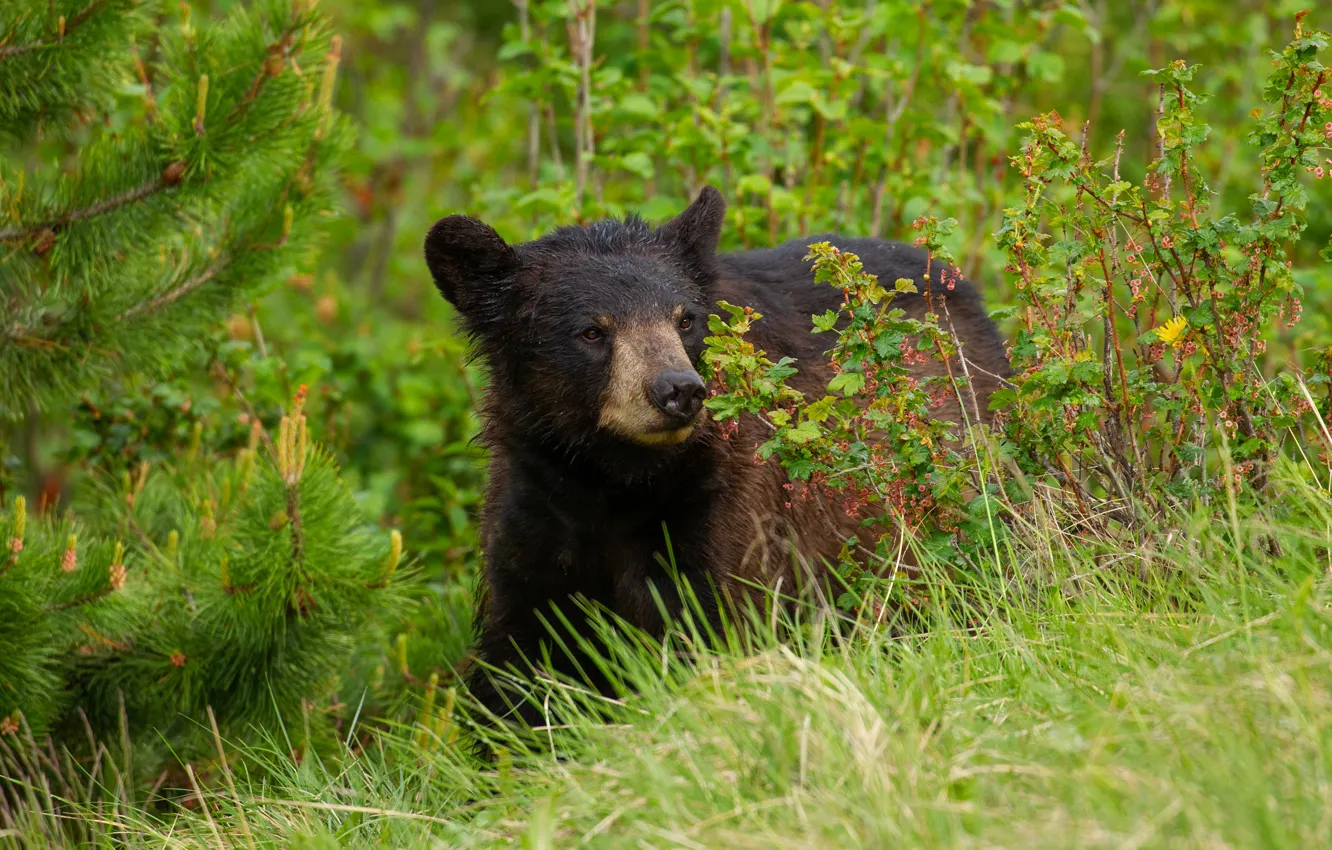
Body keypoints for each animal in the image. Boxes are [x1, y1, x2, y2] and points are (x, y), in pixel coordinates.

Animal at [423, 186, 1010, 729]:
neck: (611, 485)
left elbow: (714, 629)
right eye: (592, 330)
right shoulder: (533, 517)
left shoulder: (722, 515)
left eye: (685, 319)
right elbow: (520, 661)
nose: (678, 390)